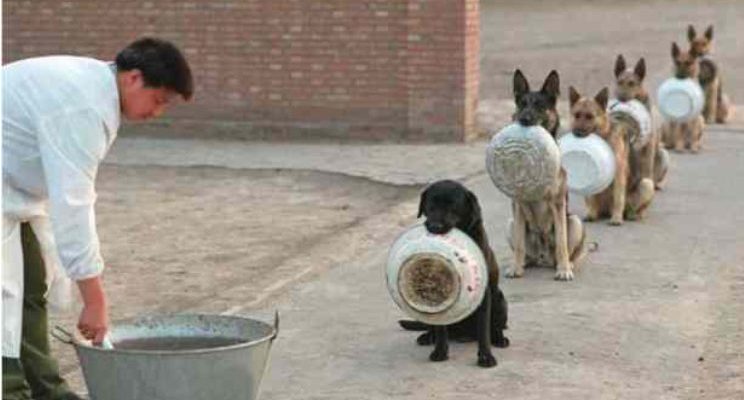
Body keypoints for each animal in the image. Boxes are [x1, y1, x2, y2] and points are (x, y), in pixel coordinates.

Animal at [398, 180, 508, 368]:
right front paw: (440, 352)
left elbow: (483, 331)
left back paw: (499, 338)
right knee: (434, 328)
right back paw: (428, 337)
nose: (434, 226)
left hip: (500, 299)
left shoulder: (483, 295)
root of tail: (463, 335)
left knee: (495, 327)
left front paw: (486, 357)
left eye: (453, 207)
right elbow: (441, 330)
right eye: (431, 205)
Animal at [506, 69, 588, 282]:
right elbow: (520, 243)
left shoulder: (557, 204)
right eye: (522, 104)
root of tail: (543, 256)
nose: (524, 120)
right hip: (512, 223)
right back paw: (523, 263)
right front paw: (515, 268)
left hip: (574, 221)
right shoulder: (518, 205)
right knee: (525, 250)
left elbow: (561, 242)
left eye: (539, 106)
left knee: (568, 251)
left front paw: (564, 270)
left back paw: (567, 264)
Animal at [568, 86, 652, 225]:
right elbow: (592, 198)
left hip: (647, 183)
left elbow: (618, 198)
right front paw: (591, 214)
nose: (577, 133)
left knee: (636, 209)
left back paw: (632, 215)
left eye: (590, 116)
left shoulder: (619, 175)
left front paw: (616, 218)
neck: (604, 135)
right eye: (577, 115)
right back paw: (594, 213)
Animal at [612, 54, 672, 191]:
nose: (621, 98)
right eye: (620, 82)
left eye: (632, 83)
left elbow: (647, 168)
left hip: (663, 154)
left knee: (653, 177)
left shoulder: (649, 146)